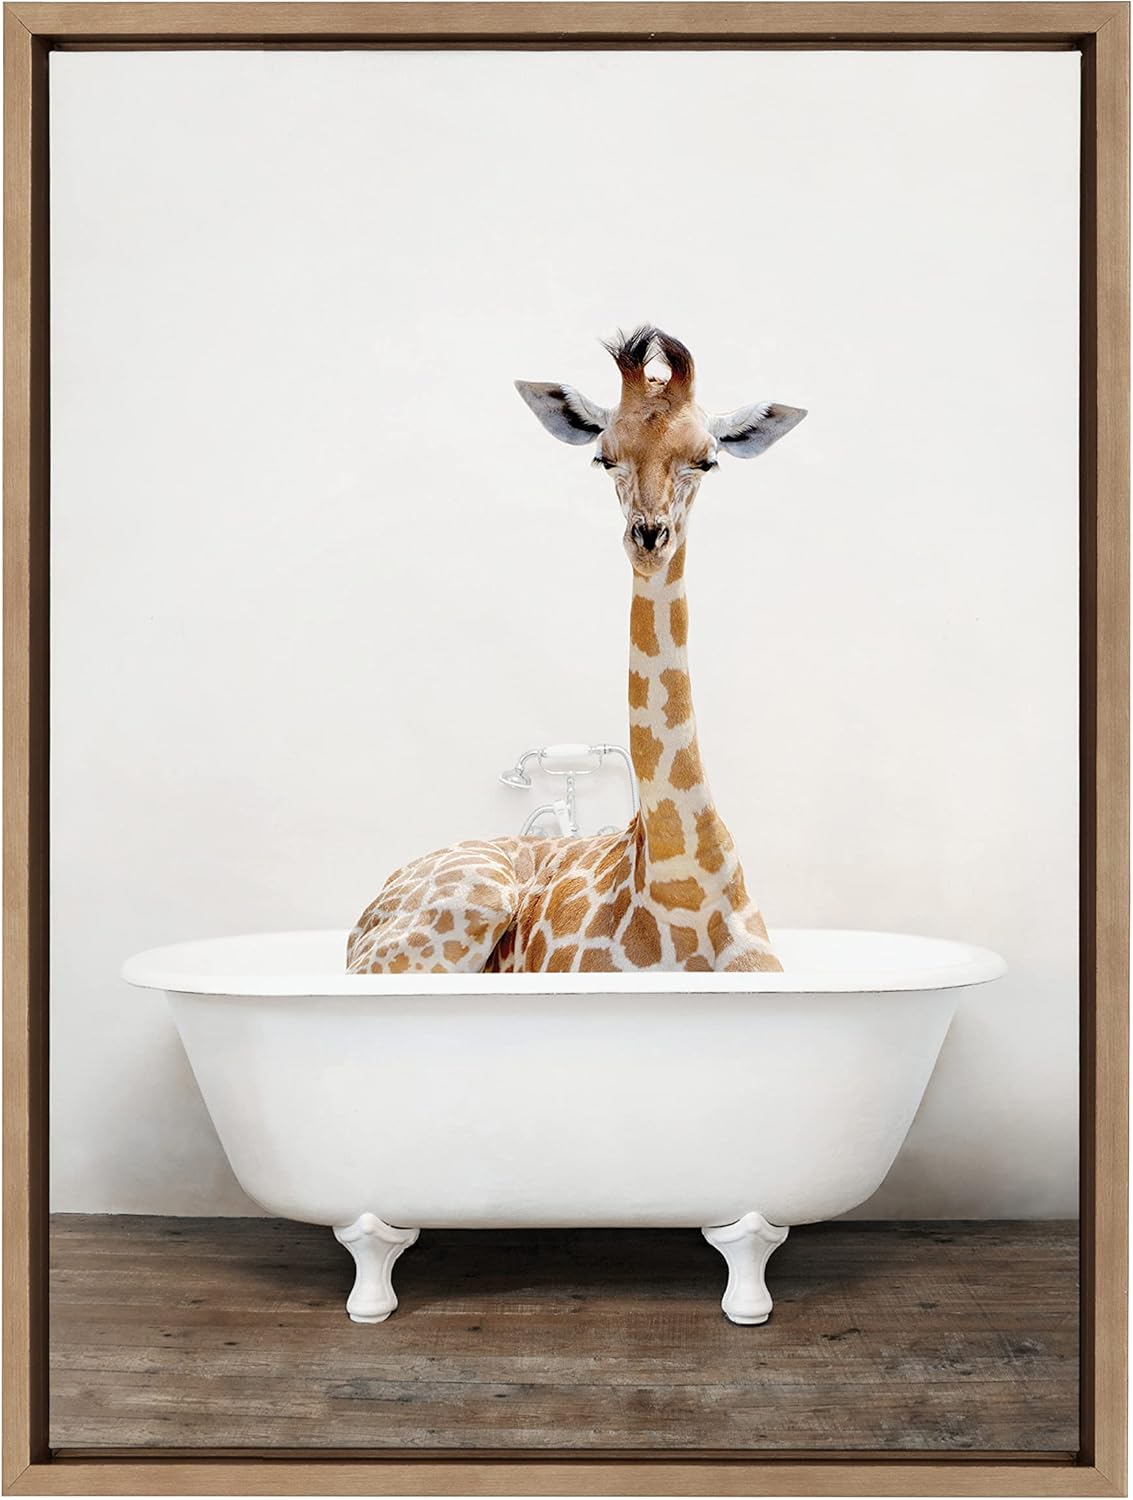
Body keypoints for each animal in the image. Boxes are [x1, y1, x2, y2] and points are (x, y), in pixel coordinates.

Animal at [346, 326, 806, 975]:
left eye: (707, 459)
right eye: (603, 457)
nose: (649, 537)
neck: (685, 883)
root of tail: (362, 917)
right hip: (461, 907)